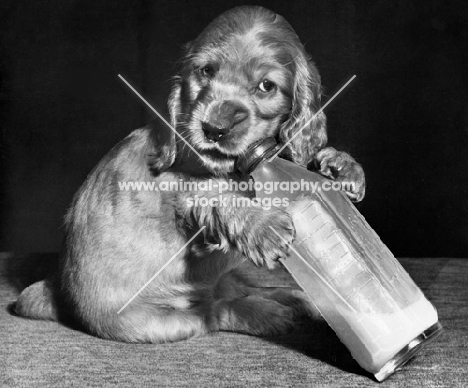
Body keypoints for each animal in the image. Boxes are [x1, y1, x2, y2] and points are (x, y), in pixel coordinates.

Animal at [14, 6, 366, 342]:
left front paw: (341, 167)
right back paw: (268, 314)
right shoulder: (178, 196)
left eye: (266, 86)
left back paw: (298, 299)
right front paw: (262, 225)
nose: (214, 129)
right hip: (158, 322)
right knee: (217, 311)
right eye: (206, 71)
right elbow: (216, 198)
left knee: (236, 290)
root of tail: (58, 292)